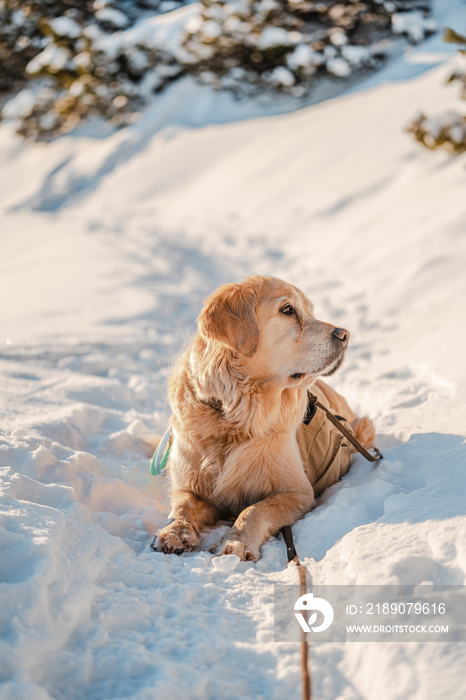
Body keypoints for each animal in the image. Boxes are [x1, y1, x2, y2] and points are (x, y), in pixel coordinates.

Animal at [153, 276, 374, 560]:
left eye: (310, 311)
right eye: (287, 310)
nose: (345, 335)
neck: (234, 415)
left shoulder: (297, 492)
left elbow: (255, 509)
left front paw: (236, 541)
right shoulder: (189, 487)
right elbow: (182, 507)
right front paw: (175, 532)